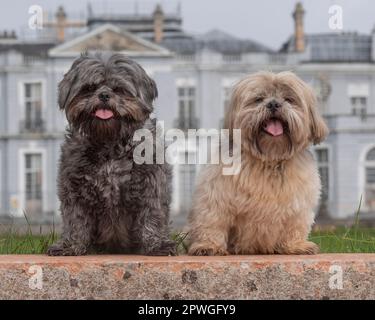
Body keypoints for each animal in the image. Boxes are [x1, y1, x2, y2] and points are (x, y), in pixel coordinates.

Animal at [47, 53, 176, 258]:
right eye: (89, 88)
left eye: (119, 89)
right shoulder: (74, 188)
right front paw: (70, 245)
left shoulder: (151, 185)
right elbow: (75, 219)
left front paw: (157, 245)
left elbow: (152, 216)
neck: (110, 143)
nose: (104, 95)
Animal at [188, 72, 328, 255]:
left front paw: (295, 246)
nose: (274, 103)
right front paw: (209, 246)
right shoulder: (216, 196)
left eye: (289, 99)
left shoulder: (299, 204)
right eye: (259, 99)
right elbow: (213, 221)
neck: (269, 158)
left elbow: (294, 225)